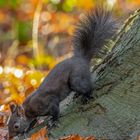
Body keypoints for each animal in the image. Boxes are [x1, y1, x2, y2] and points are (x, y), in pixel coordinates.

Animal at [7, 7, 117, 138]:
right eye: (7, 124)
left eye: (16, 126)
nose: (9, 136)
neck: (28, 109)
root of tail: (82, 59)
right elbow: (33, 121)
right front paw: (28, 128)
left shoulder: (48, 102)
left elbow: (55, 111)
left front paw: (53, 121)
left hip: (76, 78)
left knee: (88, 85)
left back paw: (86, 96)